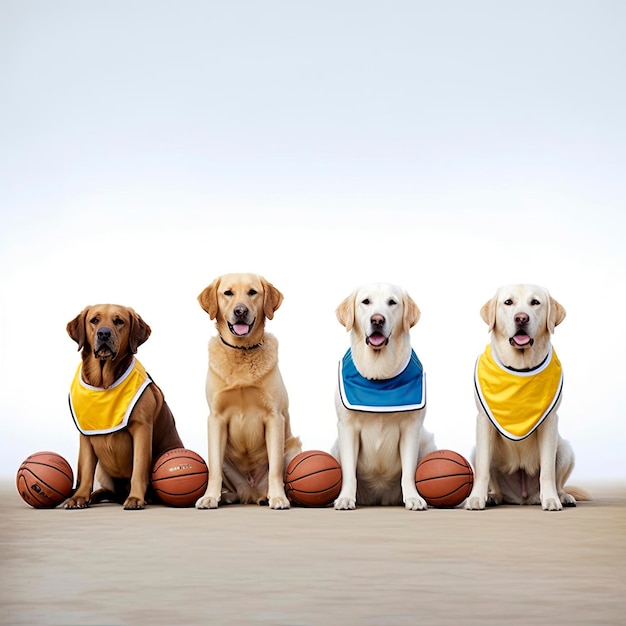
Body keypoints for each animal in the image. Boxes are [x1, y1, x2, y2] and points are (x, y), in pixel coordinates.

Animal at [65, 304, 183, 510]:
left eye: (119, 321)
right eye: (94, 320)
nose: (104, 333)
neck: (104, 382)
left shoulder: (142, 429)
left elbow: (139, 468)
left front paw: (135, 498)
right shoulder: (85, 435)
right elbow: (86, 470)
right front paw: (79, 497)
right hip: (103, 470)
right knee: (107, 490)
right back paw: (93, 495)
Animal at [195, 272, 302, 508]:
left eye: (252, 292)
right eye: (228, 293)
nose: (240, 311)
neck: (241, 351)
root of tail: (252, 492)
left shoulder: (274, 418)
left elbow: (275, 469)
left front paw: (278, 497)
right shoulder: (216, 419)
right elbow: (213, 470)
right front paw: (210, 497)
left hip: (292, 448)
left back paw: (270, 496)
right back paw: (227, 496)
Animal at [332, 282, 434, 508]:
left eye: (392, 302)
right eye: (366, 302)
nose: (377, 320)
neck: (380, 377)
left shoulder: (411, 428)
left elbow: (408, 473)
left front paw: (413, 498)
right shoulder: (347, 427)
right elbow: (349, 473)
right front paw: (345, 498)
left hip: (426, 442)